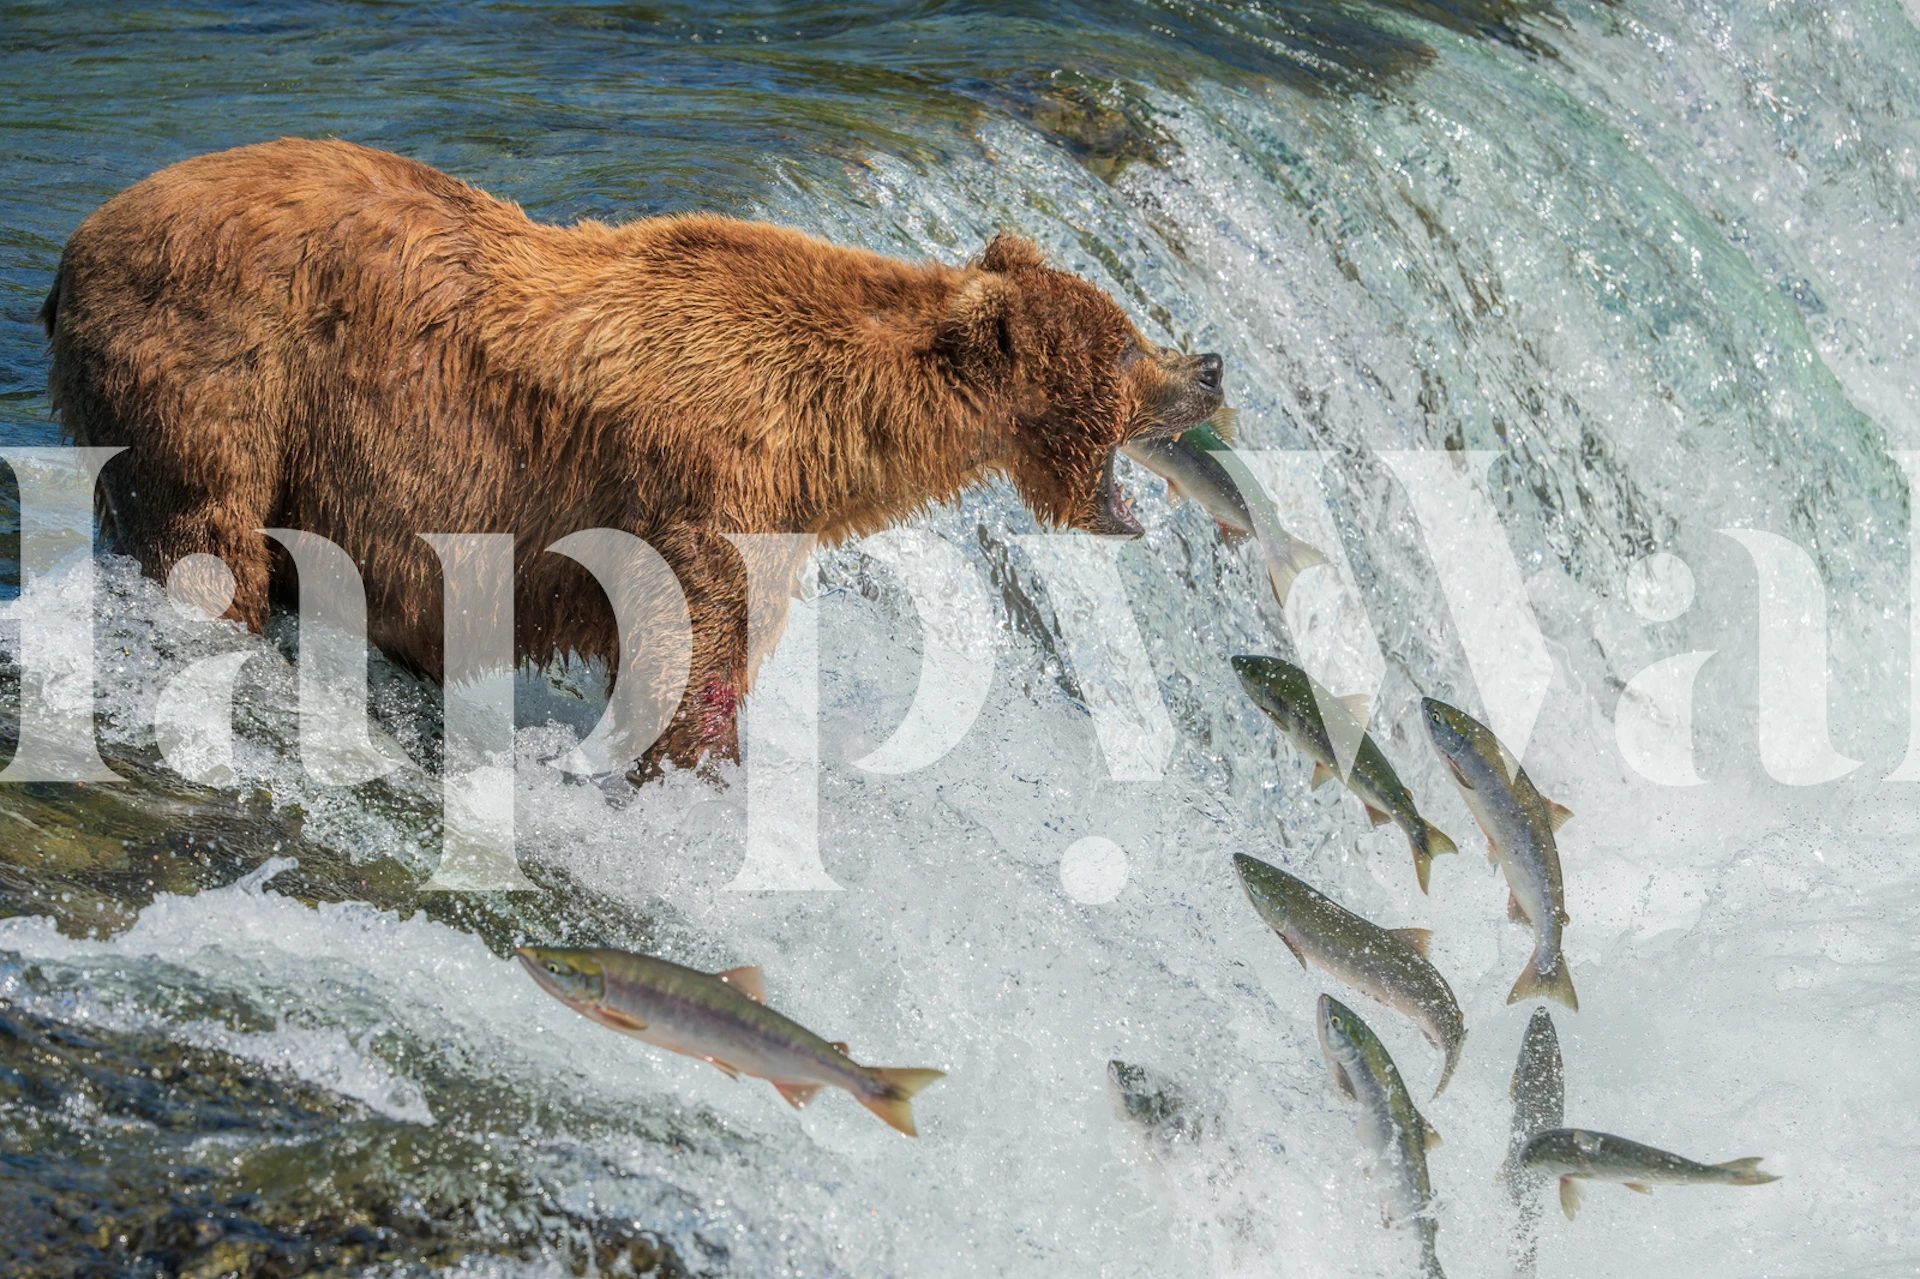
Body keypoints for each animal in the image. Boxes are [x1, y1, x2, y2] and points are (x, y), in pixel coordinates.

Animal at [41, 138, 1225, 774]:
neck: (830, 436)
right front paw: (690, 765)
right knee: (209, 535)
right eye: (1127, 343)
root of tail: (74, 248)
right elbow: (696, 650)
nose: (1210, 362)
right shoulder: (700, 492)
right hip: (219, 371)